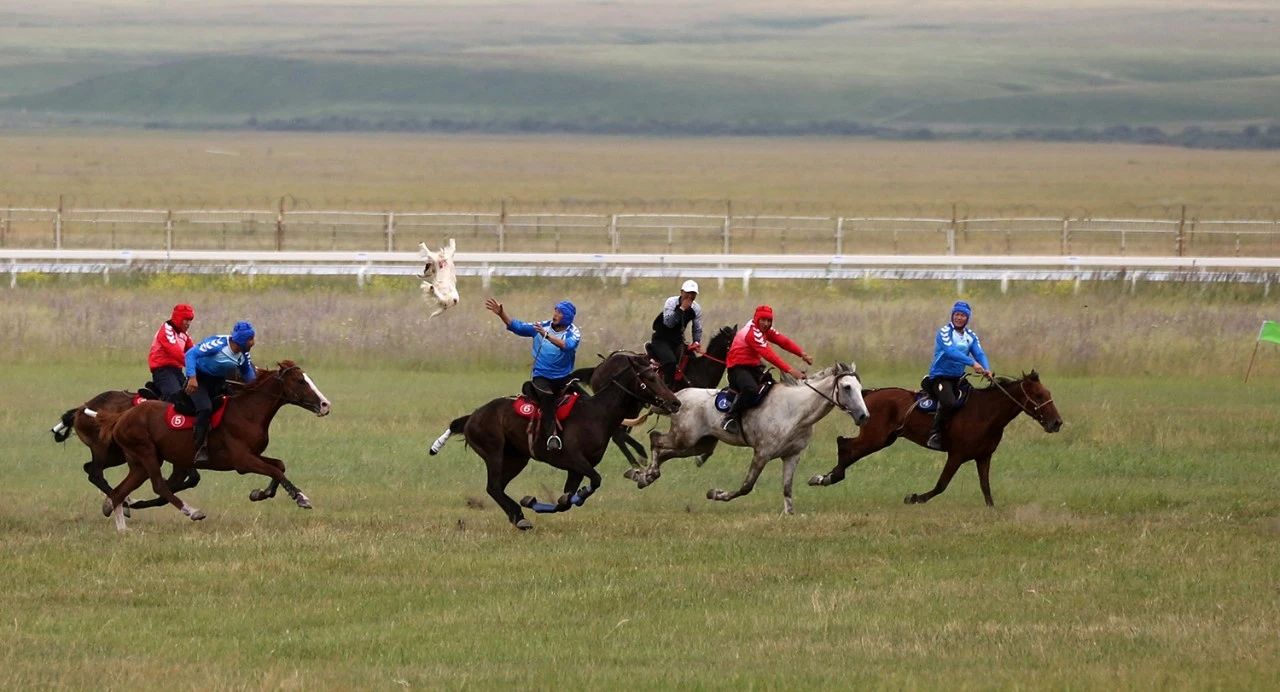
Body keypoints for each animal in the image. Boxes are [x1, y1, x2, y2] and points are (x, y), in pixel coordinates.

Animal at [96, 360, 332, 529]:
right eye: (300, 381)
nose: (325, 404)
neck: (247, 412)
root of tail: (121, 417)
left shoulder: (253, 455)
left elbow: (279, 466)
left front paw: (259, 493)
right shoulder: (243, 461)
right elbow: (276, 471)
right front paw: (301, 498)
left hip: (139, 464)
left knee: (120, 492)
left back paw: (121, 524)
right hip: (146, 454)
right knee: (159, 485)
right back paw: (192, 511)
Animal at [427, 350, 680, 529]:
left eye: (660, 376)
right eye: (650, 377)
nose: (675, 402)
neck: (597, 413)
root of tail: (472, 417)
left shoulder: (577, 469)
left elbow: (565, 502)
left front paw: (534, 500)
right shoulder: (574, 461)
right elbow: (595, 480)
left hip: (517, 458)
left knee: (499, 487)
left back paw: (517, 514)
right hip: (494, 452)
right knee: (493, 487)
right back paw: (520, 518)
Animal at [627, 360, 875, 511]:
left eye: (859, 386)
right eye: (846, 387)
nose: (864, 416)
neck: (795, 410)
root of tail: (680, 395)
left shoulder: (792, 456)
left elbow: (787, 489)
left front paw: (789, 515)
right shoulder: (762, 453)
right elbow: (746, 486)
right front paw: (716, 493)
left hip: (698, 445)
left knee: (664, 451)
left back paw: (641, 476)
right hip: (684, 438)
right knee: (656, 440)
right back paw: (646, 475)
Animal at [803, 368, 1064, 503]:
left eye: (1048, 393)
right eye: (1039, 396)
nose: (1057, 423)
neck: (986, 412)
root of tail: (868, 393)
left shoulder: (983, 457)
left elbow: (986, 488)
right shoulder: (956, 455)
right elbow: (941, 485)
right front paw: (914, 497)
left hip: (884, 439)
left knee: (846, 446)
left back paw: (828, 477)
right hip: (874, 438)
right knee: (845, 445)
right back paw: (826, 477)